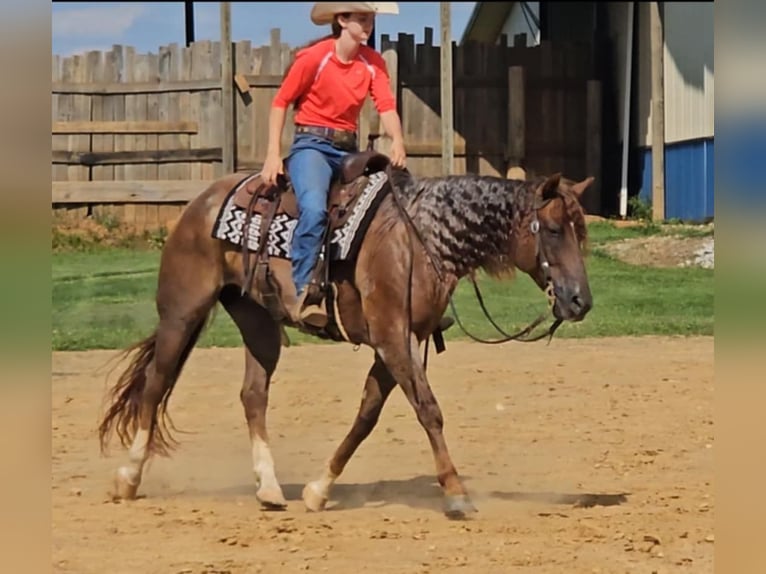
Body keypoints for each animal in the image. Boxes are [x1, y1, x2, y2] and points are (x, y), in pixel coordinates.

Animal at [97, 149, 595, 519]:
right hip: (181, 312)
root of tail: (202, 202)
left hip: (258, 322)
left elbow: (367, 415)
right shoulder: (392, 337)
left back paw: (270, 488)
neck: (419, 238)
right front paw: (455, 493)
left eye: (583, 232)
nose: (580, 301)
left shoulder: (398, 342)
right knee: (156, 383)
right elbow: (429, 411)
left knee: (253, 394)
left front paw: (318, 489)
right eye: (553, 229)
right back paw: (127, 478)